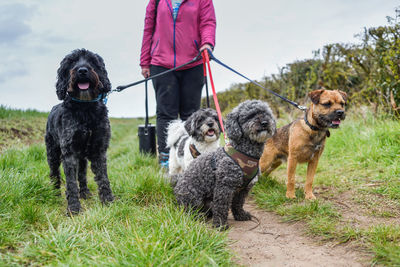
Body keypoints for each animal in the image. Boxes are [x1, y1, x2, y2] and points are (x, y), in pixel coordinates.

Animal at [45, 48, 114, 216]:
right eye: (72, 61)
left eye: (92, 61)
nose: (82, 70)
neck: (85, 108)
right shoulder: (69, 151)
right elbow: (71, 182)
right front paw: (74, 208)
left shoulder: (98, 149)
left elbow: (103, 177)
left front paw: (108, 201)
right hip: (52, 152)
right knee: (54, 173)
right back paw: (55, 194)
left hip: (82, 157)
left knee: (82, 174)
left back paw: (85, 193)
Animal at [173, 100, 276, 230]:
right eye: (250, 115)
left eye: (266, 113)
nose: (264, 123)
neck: (247, 153)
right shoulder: (224, 186)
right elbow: (221, 206)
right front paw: (220, 224)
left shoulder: (243, 189)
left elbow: (238, 203)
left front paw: (240, 215)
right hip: (193, 196)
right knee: (189, 211)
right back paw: (197, 216)